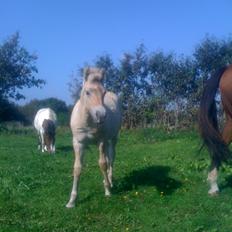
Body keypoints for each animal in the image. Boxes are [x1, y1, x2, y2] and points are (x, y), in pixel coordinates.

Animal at [66, 67, 122, 208]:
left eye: (104, 92)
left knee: (111, 159)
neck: (88, 121)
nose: (101, 115)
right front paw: (72, 201)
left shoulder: (101, 141)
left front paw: (107, 191)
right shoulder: (78, 143)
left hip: (113, 139)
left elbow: (103, 164)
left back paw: (110, 181)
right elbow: (77, 168)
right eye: (87, 92)